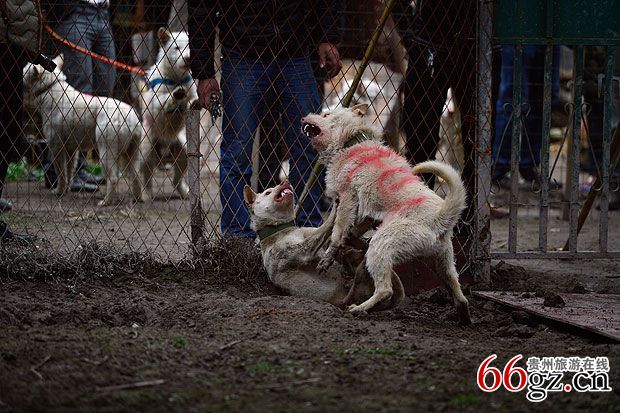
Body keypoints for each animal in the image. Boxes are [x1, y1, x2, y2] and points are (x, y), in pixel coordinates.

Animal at [23, 55, 142, 206]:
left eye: (25, 68)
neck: (50, 87)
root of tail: (131, 117)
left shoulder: (56, 147)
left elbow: (61, 172)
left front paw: (59, 191)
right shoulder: (71, 150)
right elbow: (70, 170)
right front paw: (67, 189)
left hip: (106, 151)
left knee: (113, 178)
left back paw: (106, 202)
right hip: (132, 152)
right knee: (136, 175)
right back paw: (137, 199)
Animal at [139, 27, 197, 202]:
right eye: (177, 48)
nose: (188, 58)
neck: (176, 79)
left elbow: (192, 100)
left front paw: (192, 101)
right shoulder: (156, 103)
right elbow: (164, 101)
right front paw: (175, 96)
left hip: (183, 150)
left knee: (177, 179)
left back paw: (185, 192)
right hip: (146, 149)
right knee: (146, 175)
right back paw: (146, 194)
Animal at [243, 181, 404, 308]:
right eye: (267, 192)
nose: (285, 181)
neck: (283, 229)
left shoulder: (322, 241)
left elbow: (333, 236)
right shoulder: (302, 251)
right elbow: (326, 225)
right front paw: (335, 205)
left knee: (350, 254)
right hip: (358, 285)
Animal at [301, 104, 471, 323]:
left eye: (326, 114)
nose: (304, 117)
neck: (352, 141)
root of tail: (440, 218)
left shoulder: (348, 200)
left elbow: (337, 233)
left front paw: (328, 257)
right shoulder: (362, 213)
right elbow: (344, 231)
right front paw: (347, 243)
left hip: (382, 245)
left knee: (385, 290)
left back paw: (360, 308)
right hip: (442, 262)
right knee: (460, 295)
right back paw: (462, 316)